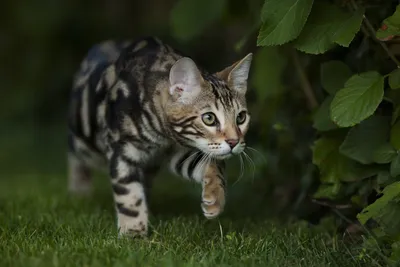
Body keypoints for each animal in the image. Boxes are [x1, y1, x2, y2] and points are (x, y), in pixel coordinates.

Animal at [67, 36, 252, 238]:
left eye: (241, 117)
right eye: (209, 118)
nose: (234, 142)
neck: (164, 135)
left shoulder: (178, 151)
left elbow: (214, 164)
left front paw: (215, 197)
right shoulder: (121, 150)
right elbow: (129, 194)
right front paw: (133, 233)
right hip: (85, 142)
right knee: (75, 153)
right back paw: (80, 188)